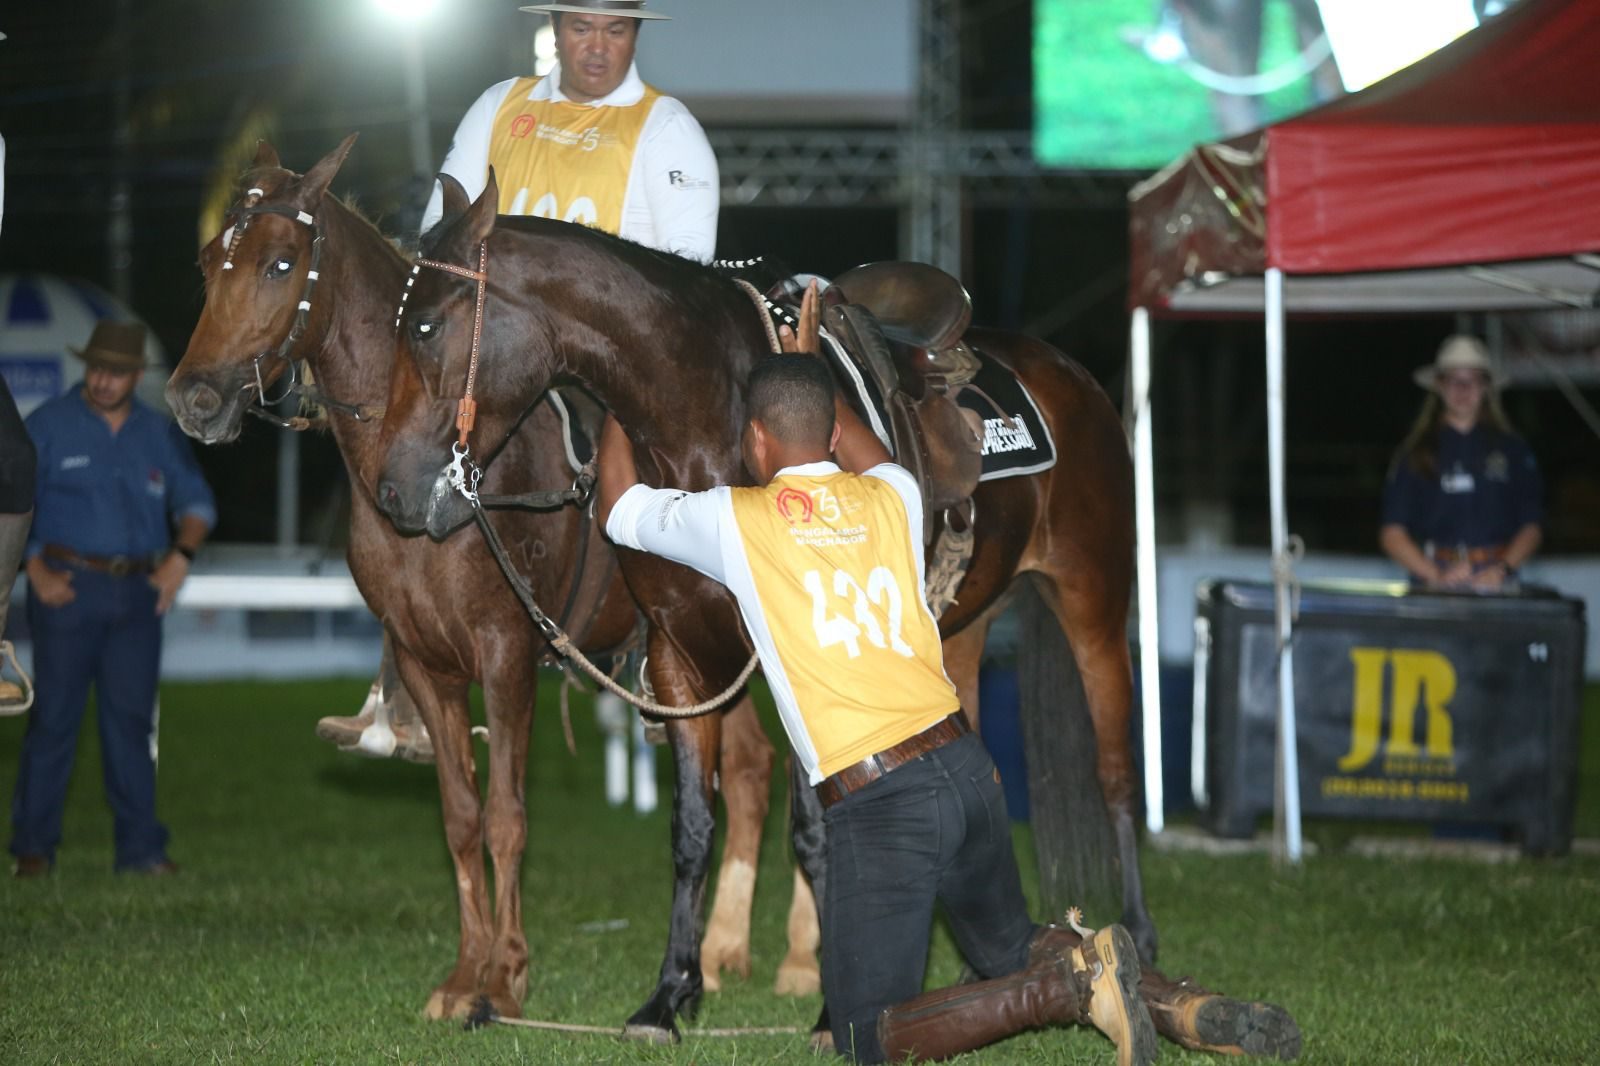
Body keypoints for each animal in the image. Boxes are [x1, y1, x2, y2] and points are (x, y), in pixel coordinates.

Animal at [162, 139, 800, 1011]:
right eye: (205, 262)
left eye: (280, 263)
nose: (193, 399)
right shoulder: (425, 662)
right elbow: (461, 817)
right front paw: (464, 976)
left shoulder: (505, 655)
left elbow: (506, 817)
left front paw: (505, 976)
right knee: (748, 767)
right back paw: (726, 947)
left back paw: (797, 960)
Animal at [369, 176, 1158, 1037]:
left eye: (426, 324)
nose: (392, 492)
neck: (704, 423)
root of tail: (1069, 373)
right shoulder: (677, 654)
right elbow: (692, 828)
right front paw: (672, 991)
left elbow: (816, 829)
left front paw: (827, 1003)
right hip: (962, 630)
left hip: (1095, 600)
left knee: (1117, 773)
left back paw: (1136, 936)